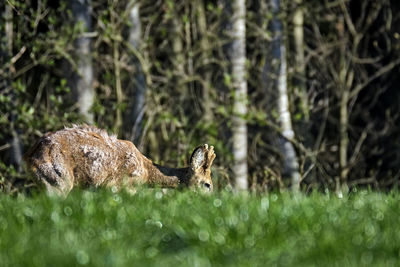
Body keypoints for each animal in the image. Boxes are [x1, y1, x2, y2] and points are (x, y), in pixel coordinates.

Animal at [24, 124, 216, 196]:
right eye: (207, 184)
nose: (212, 201)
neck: (146, 173)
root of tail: (30, 155)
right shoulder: (118, 186)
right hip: (58, 179)